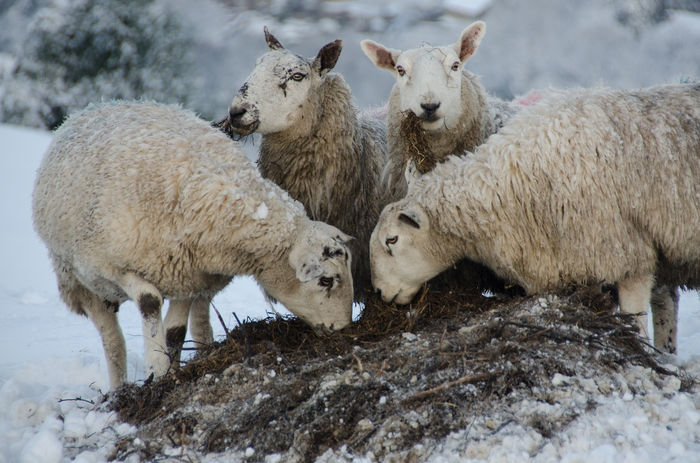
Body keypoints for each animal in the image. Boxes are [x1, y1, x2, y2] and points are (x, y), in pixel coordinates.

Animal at [31, 101, 356, 388]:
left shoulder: (188, 274)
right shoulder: (114, 267)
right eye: (326, 280)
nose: (343, 328)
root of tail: (87, 110)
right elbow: (149, 302)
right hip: (78, 278)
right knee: (111, 339)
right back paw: (117, 390)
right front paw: (155, 369)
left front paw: (170, 372)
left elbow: (175, 332)